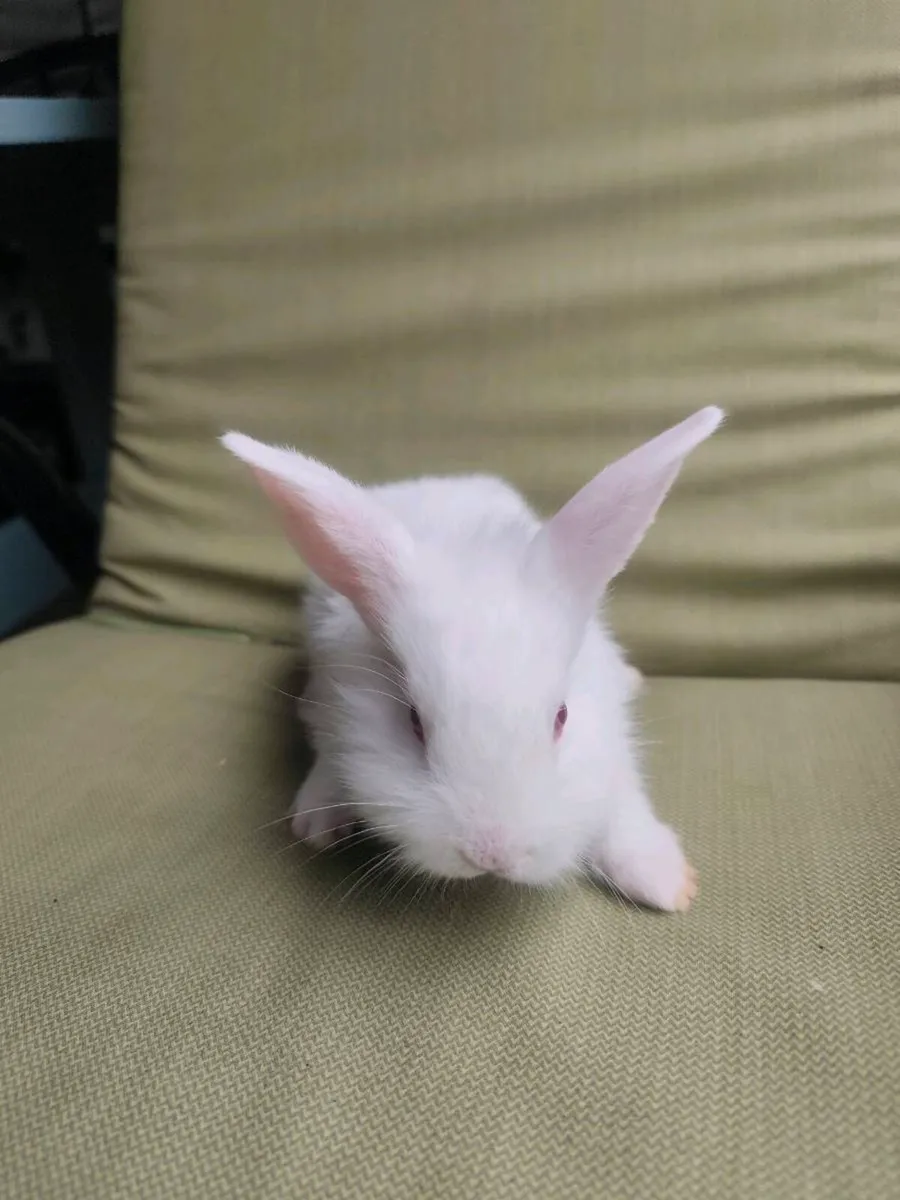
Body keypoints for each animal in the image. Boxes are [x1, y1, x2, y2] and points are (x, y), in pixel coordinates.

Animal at [222, 406, 723, 912]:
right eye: (413, 721)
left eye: (562, 717)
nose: (490, 854)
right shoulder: (326, 697)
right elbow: (328, 753)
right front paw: (317, 822)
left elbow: (623, 799)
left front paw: (669, 884)